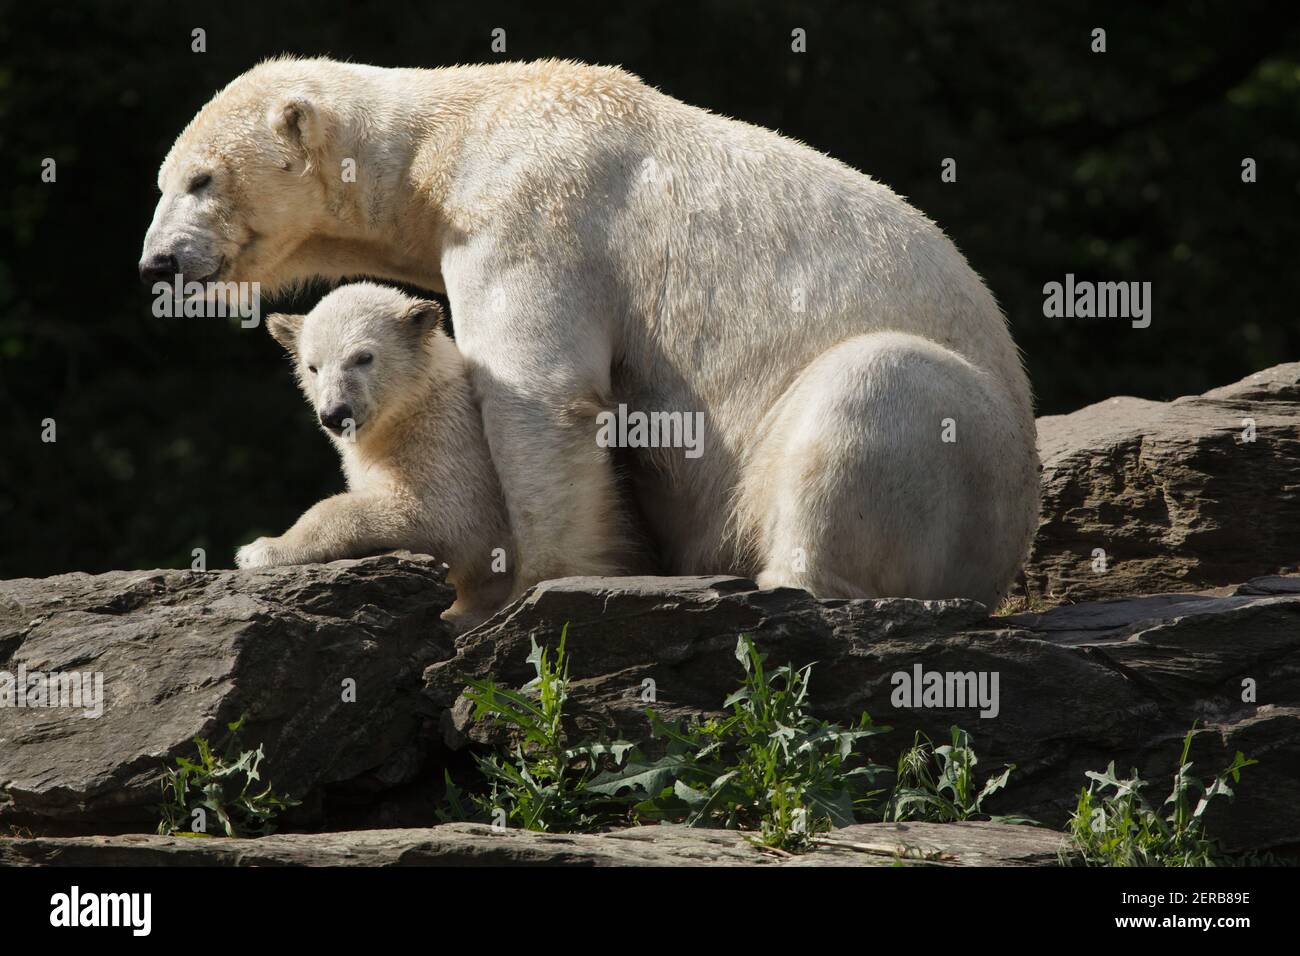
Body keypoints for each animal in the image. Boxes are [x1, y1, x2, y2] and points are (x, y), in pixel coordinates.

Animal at [235, 281, 514, 630]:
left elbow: (444, 516)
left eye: (363, 357)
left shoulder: (449, 443)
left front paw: (261, 549)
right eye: (313, 366)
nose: (335, 414)